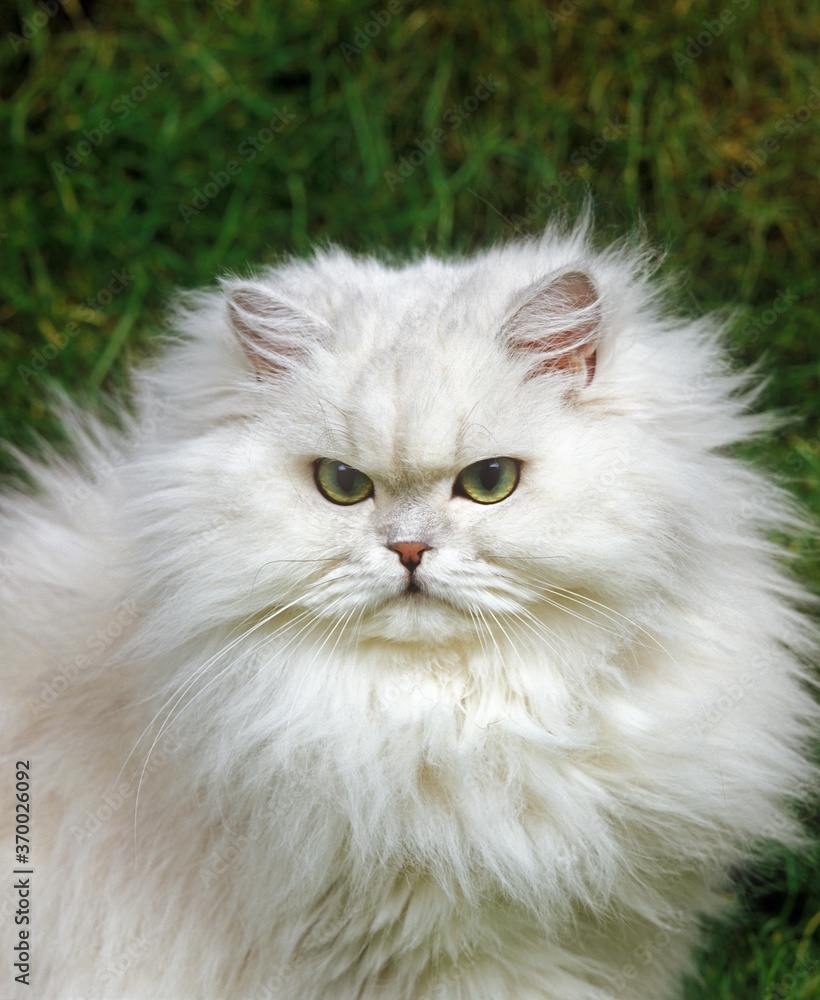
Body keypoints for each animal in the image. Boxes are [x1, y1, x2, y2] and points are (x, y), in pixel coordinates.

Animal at [0, 221, 816, 1000]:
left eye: (490, 481)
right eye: (341, 484)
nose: (410, 551)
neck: (456, 722)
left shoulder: (624, 929)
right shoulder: (439, 959)